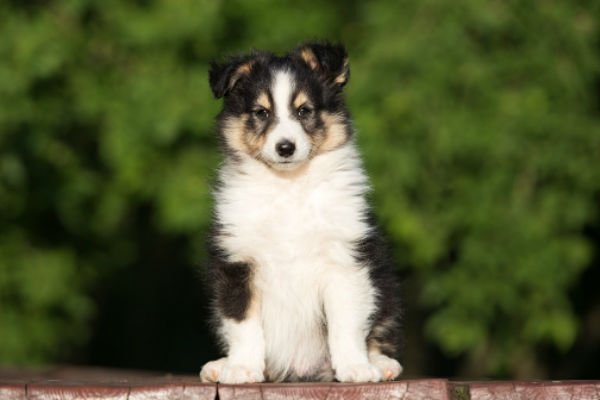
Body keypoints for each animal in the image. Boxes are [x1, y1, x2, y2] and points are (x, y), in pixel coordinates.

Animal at [200, 42, 404, 382]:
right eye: (261, 112)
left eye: (304, 111)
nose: (285, 148)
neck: (289, 186)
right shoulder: (238, 261)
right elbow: (242, 323)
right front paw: (241, 367)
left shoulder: (345, 260)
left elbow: (346, 323)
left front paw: (355, 368)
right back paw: (219, 366)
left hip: (385, 286)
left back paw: (380, 364)